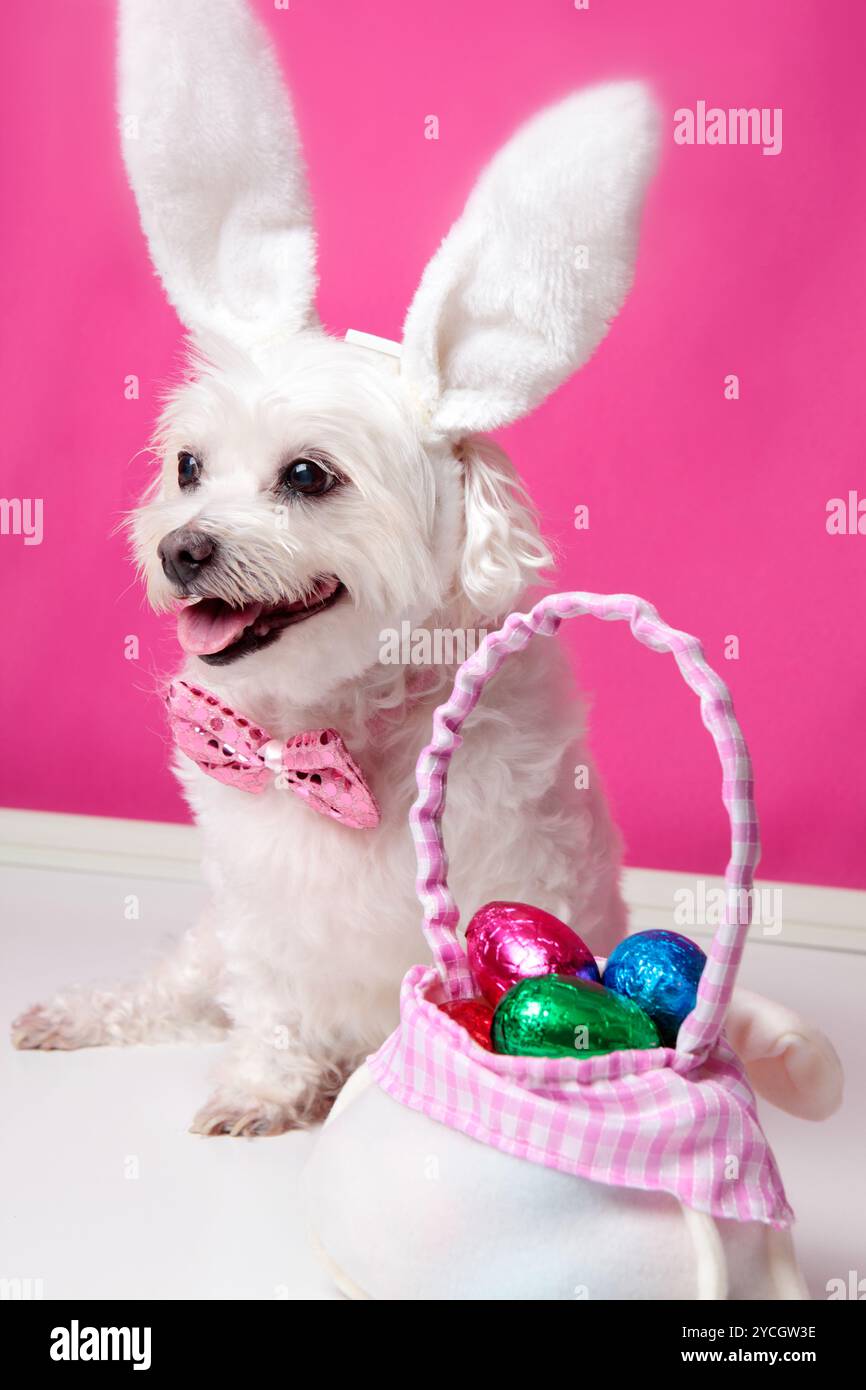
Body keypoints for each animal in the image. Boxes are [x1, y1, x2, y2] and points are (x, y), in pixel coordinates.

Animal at [11, 0, 656, 1134]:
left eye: (307, 475)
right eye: (188, 467)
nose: (182, 547)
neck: (332, 731)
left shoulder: (518, 871)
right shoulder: (258, 911)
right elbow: (269, 1003)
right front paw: (264, 1086)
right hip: (202, 946)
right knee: (168, 990)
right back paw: (80, 1013)